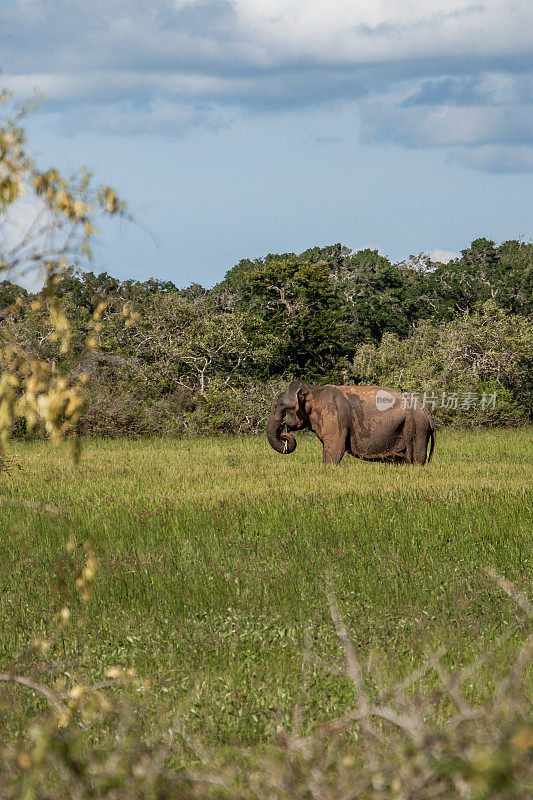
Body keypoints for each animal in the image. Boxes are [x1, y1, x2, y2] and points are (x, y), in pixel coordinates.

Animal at [268, 382, 434, 466]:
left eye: (281, 405)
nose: (284, 432)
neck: (313, 390)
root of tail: (427, 412)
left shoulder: (334, 417)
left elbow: (334, 448)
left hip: (418, 429)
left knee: (417, 460)